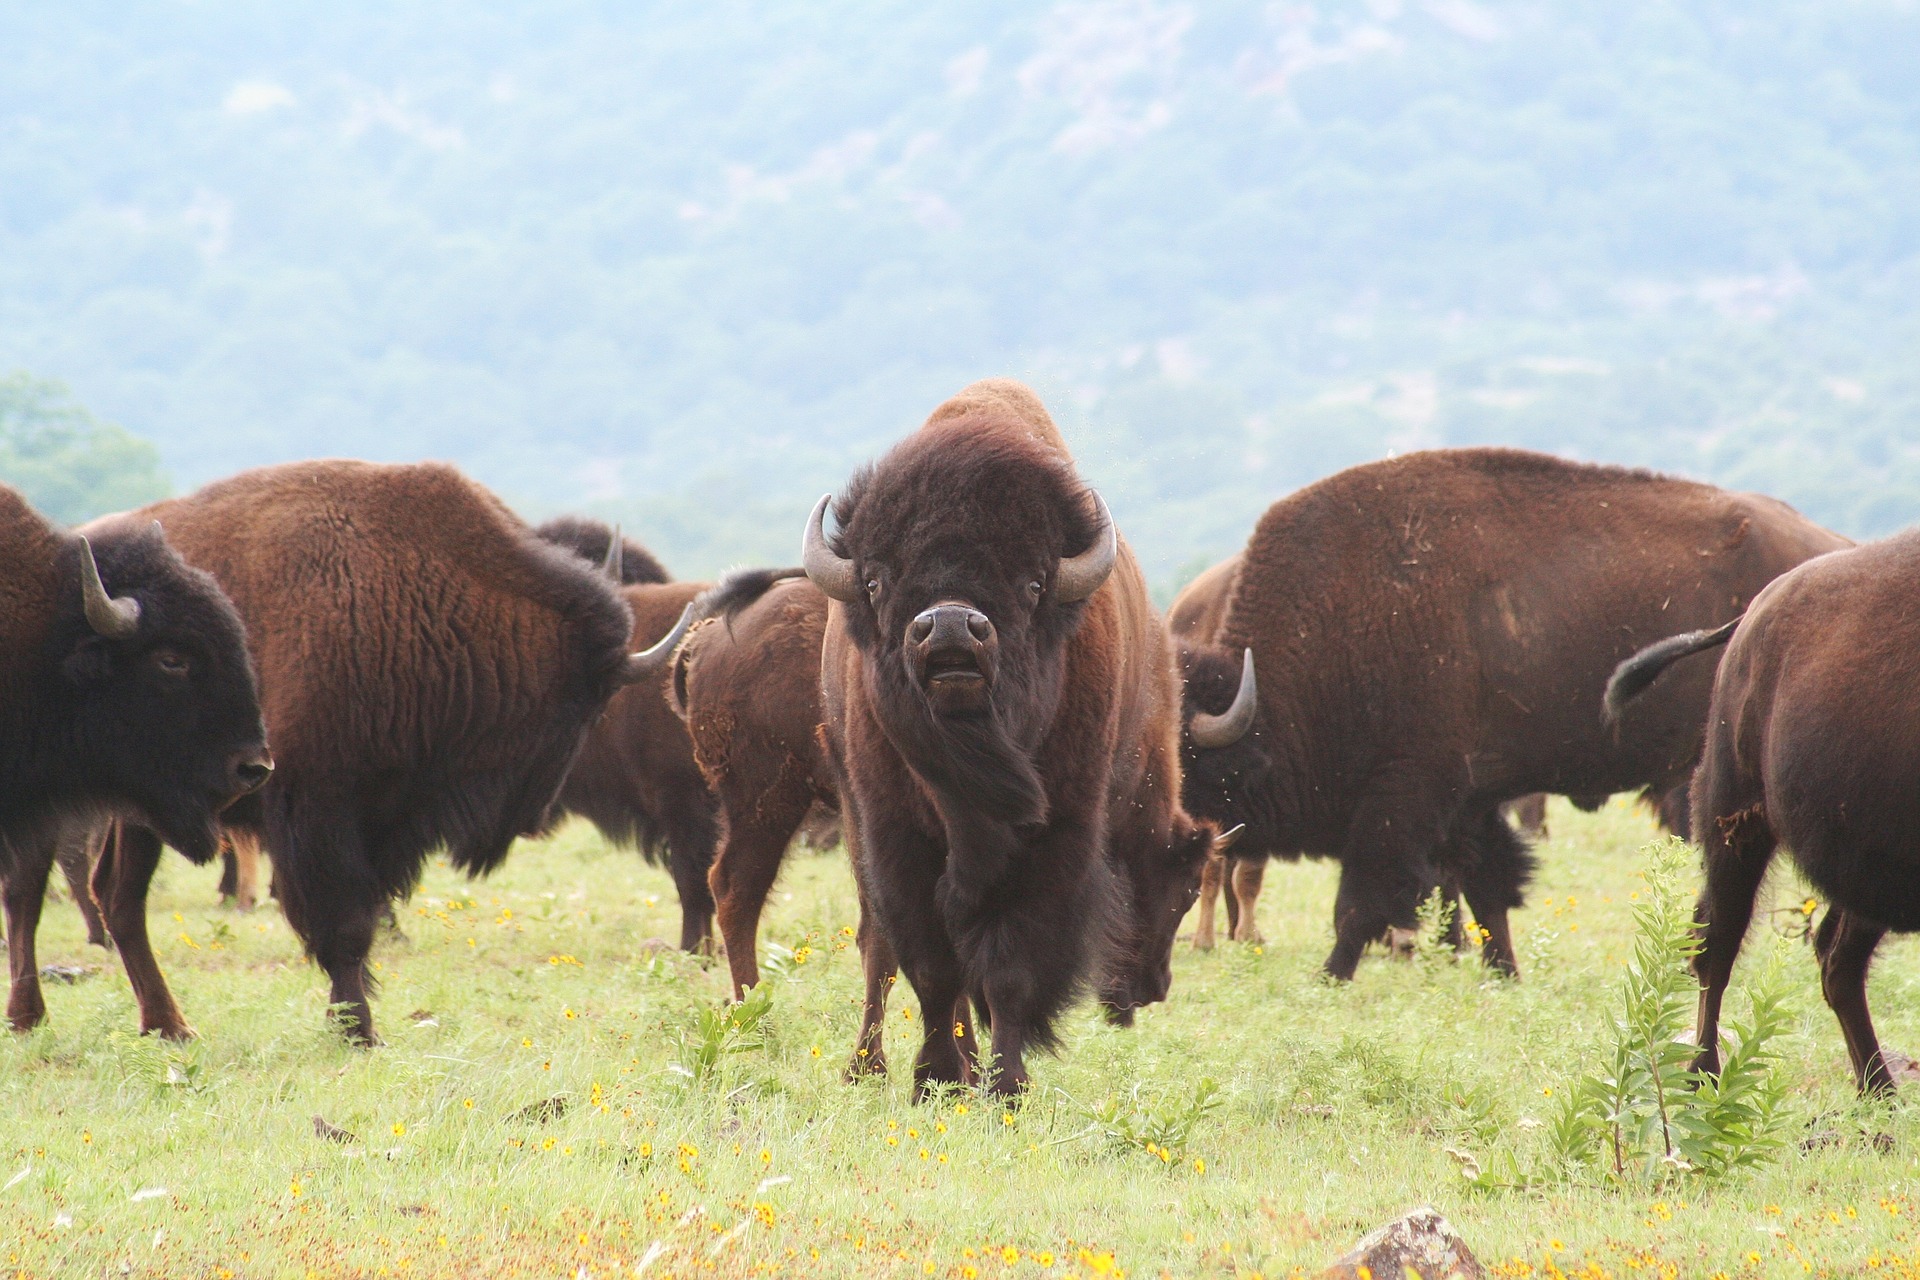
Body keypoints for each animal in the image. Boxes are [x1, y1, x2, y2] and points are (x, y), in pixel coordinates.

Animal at [80, 466, 668, 1043]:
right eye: (584, 709)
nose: (535, 818)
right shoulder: (318, 811)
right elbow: (345, 927)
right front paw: (358, 1030)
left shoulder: (387, 819)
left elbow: (364, 921)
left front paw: (353, 1019)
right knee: (123, 897)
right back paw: (169, 1025)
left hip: (142, 814)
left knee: (118, 896)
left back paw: (166, 1025)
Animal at [802, 376, 1221, 1097]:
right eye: (877, 580)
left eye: (1032, 583)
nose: (948, 627)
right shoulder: (896, 838)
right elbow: (932, 967)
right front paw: (935, 1079)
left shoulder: (1053, 839)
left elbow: (1007, 970)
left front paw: (1005, 1086)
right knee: (880, 948)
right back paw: (872, 1067)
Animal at [1175, 450, 1850, 982]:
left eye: (1186, 765)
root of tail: (1833, 548)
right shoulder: (1468, 801)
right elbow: (1486, 890)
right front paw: (1504, 971)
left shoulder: (1402, 796)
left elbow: (1362, 901)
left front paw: (1331, 976)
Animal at [1605, 537, 1904, 1097]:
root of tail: (1750, 616)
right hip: (1736, 826)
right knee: (1719, 943)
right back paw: (1703, 1076)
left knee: (1834, 955)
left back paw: (1880, 1091)